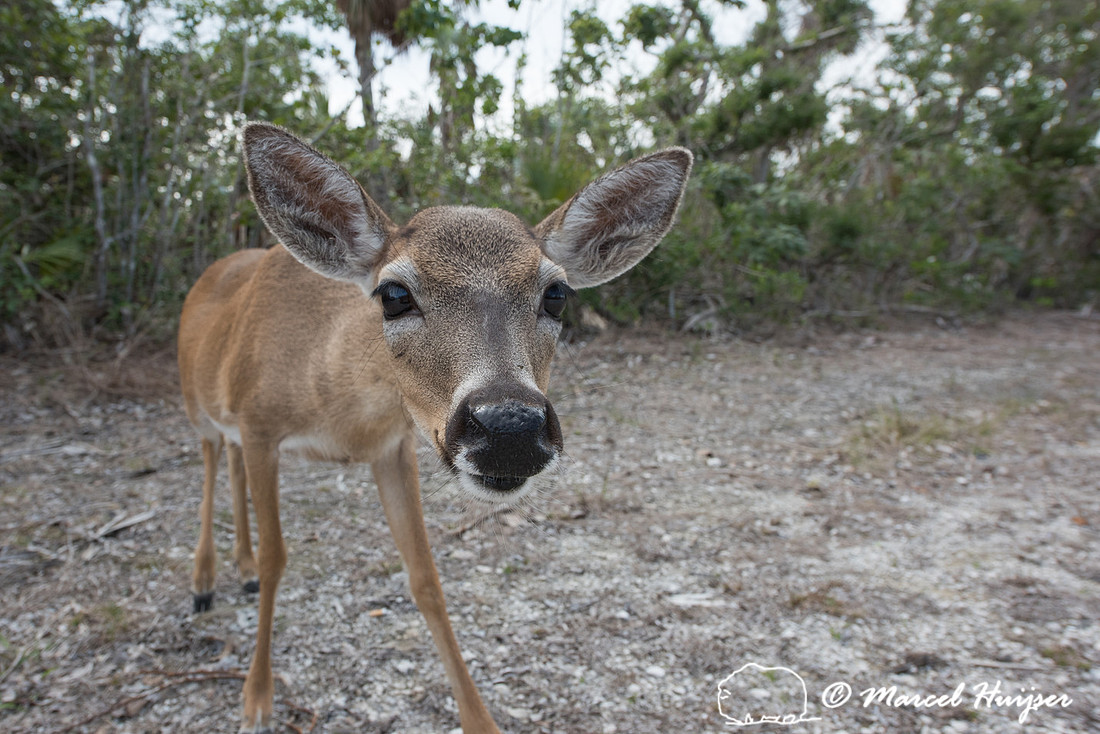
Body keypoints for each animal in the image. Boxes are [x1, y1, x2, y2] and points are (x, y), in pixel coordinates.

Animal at [177, 121, 692, 733]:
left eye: (556, 293)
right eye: (394, 293)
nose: (509, 428)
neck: (334, 400)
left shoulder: (391, 447)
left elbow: (425, 577)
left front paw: (481, 720)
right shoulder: (260, 426)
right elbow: (280, 560)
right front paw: (256, 698)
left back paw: (240, 569)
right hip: (197, 406)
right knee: (211, 463)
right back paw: (204, 583)